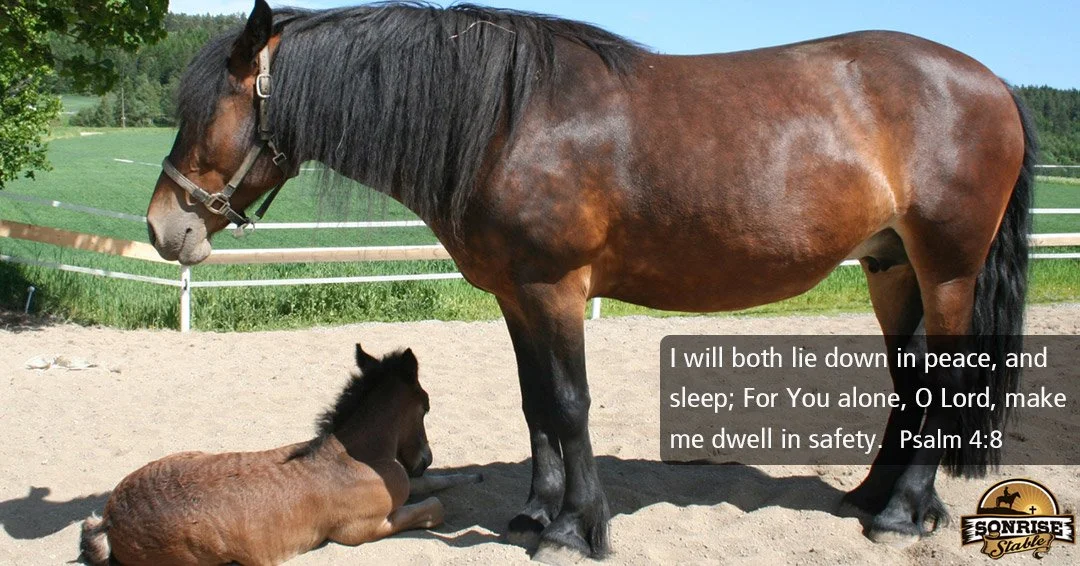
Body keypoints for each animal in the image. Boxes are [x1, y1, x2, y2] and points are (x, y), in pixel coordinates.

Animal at [79, 344, 482, 565]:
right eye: (426, 406)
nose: (424, 460)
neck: (355, 458)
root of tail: (110, 519)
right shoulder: (362, 529)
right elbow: (433, 507)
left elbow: (433, 486)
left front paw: (472, 475)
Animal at [145, 0, 1034, 559]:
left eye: (207, 112)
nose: (163, 229)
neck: (505, 119)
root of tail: (992, 83)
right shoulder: (515, 293)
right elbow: (537, 404)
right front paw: (537, 513)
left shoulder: (557, 287)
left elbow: (571, 406)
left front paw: (578, 530)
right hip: (891, 267)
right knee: (911, 382)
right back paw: (872, 498)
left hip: (947, 269)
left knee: (942, 382)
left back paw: (901, 517)